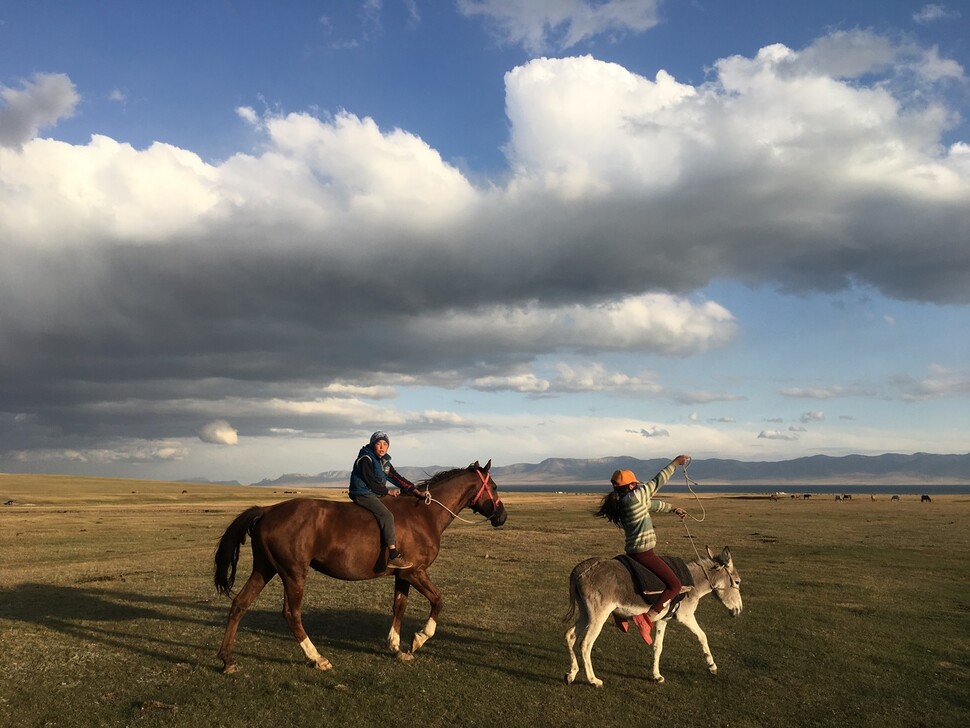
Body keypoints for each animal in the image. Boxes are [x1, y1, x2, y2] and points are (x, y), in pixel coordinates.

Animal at [214, 458, 506, 672]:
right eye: (493, 485)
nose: (502, 516)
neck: (425, 515)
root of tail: (267, 510)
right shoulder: (416, 572)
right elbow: (437, 601)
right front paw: (419, 639)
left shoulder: (403, 574)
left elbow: (399, 606)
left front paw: (396, 647)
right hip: (293, 573)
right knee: (291, 613)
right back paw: (317, 658)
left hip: (265, 569)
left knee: (240, 604)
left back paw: (227, 660)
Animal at [560, 544, 740, 688]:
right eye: (737, 582)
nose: (738, 610)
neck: (693, 583)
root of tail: (581, 569)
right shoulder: (686, 616)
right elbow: (702, 636)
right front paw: (712, 666)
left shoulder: (663, 620)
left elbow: (657, 647)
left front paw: (656, 676)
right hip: (598, 616)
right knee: (585, 644)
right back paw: (593, 680)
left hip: (585, 613)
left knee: (570, 635)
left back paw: (571, 673)